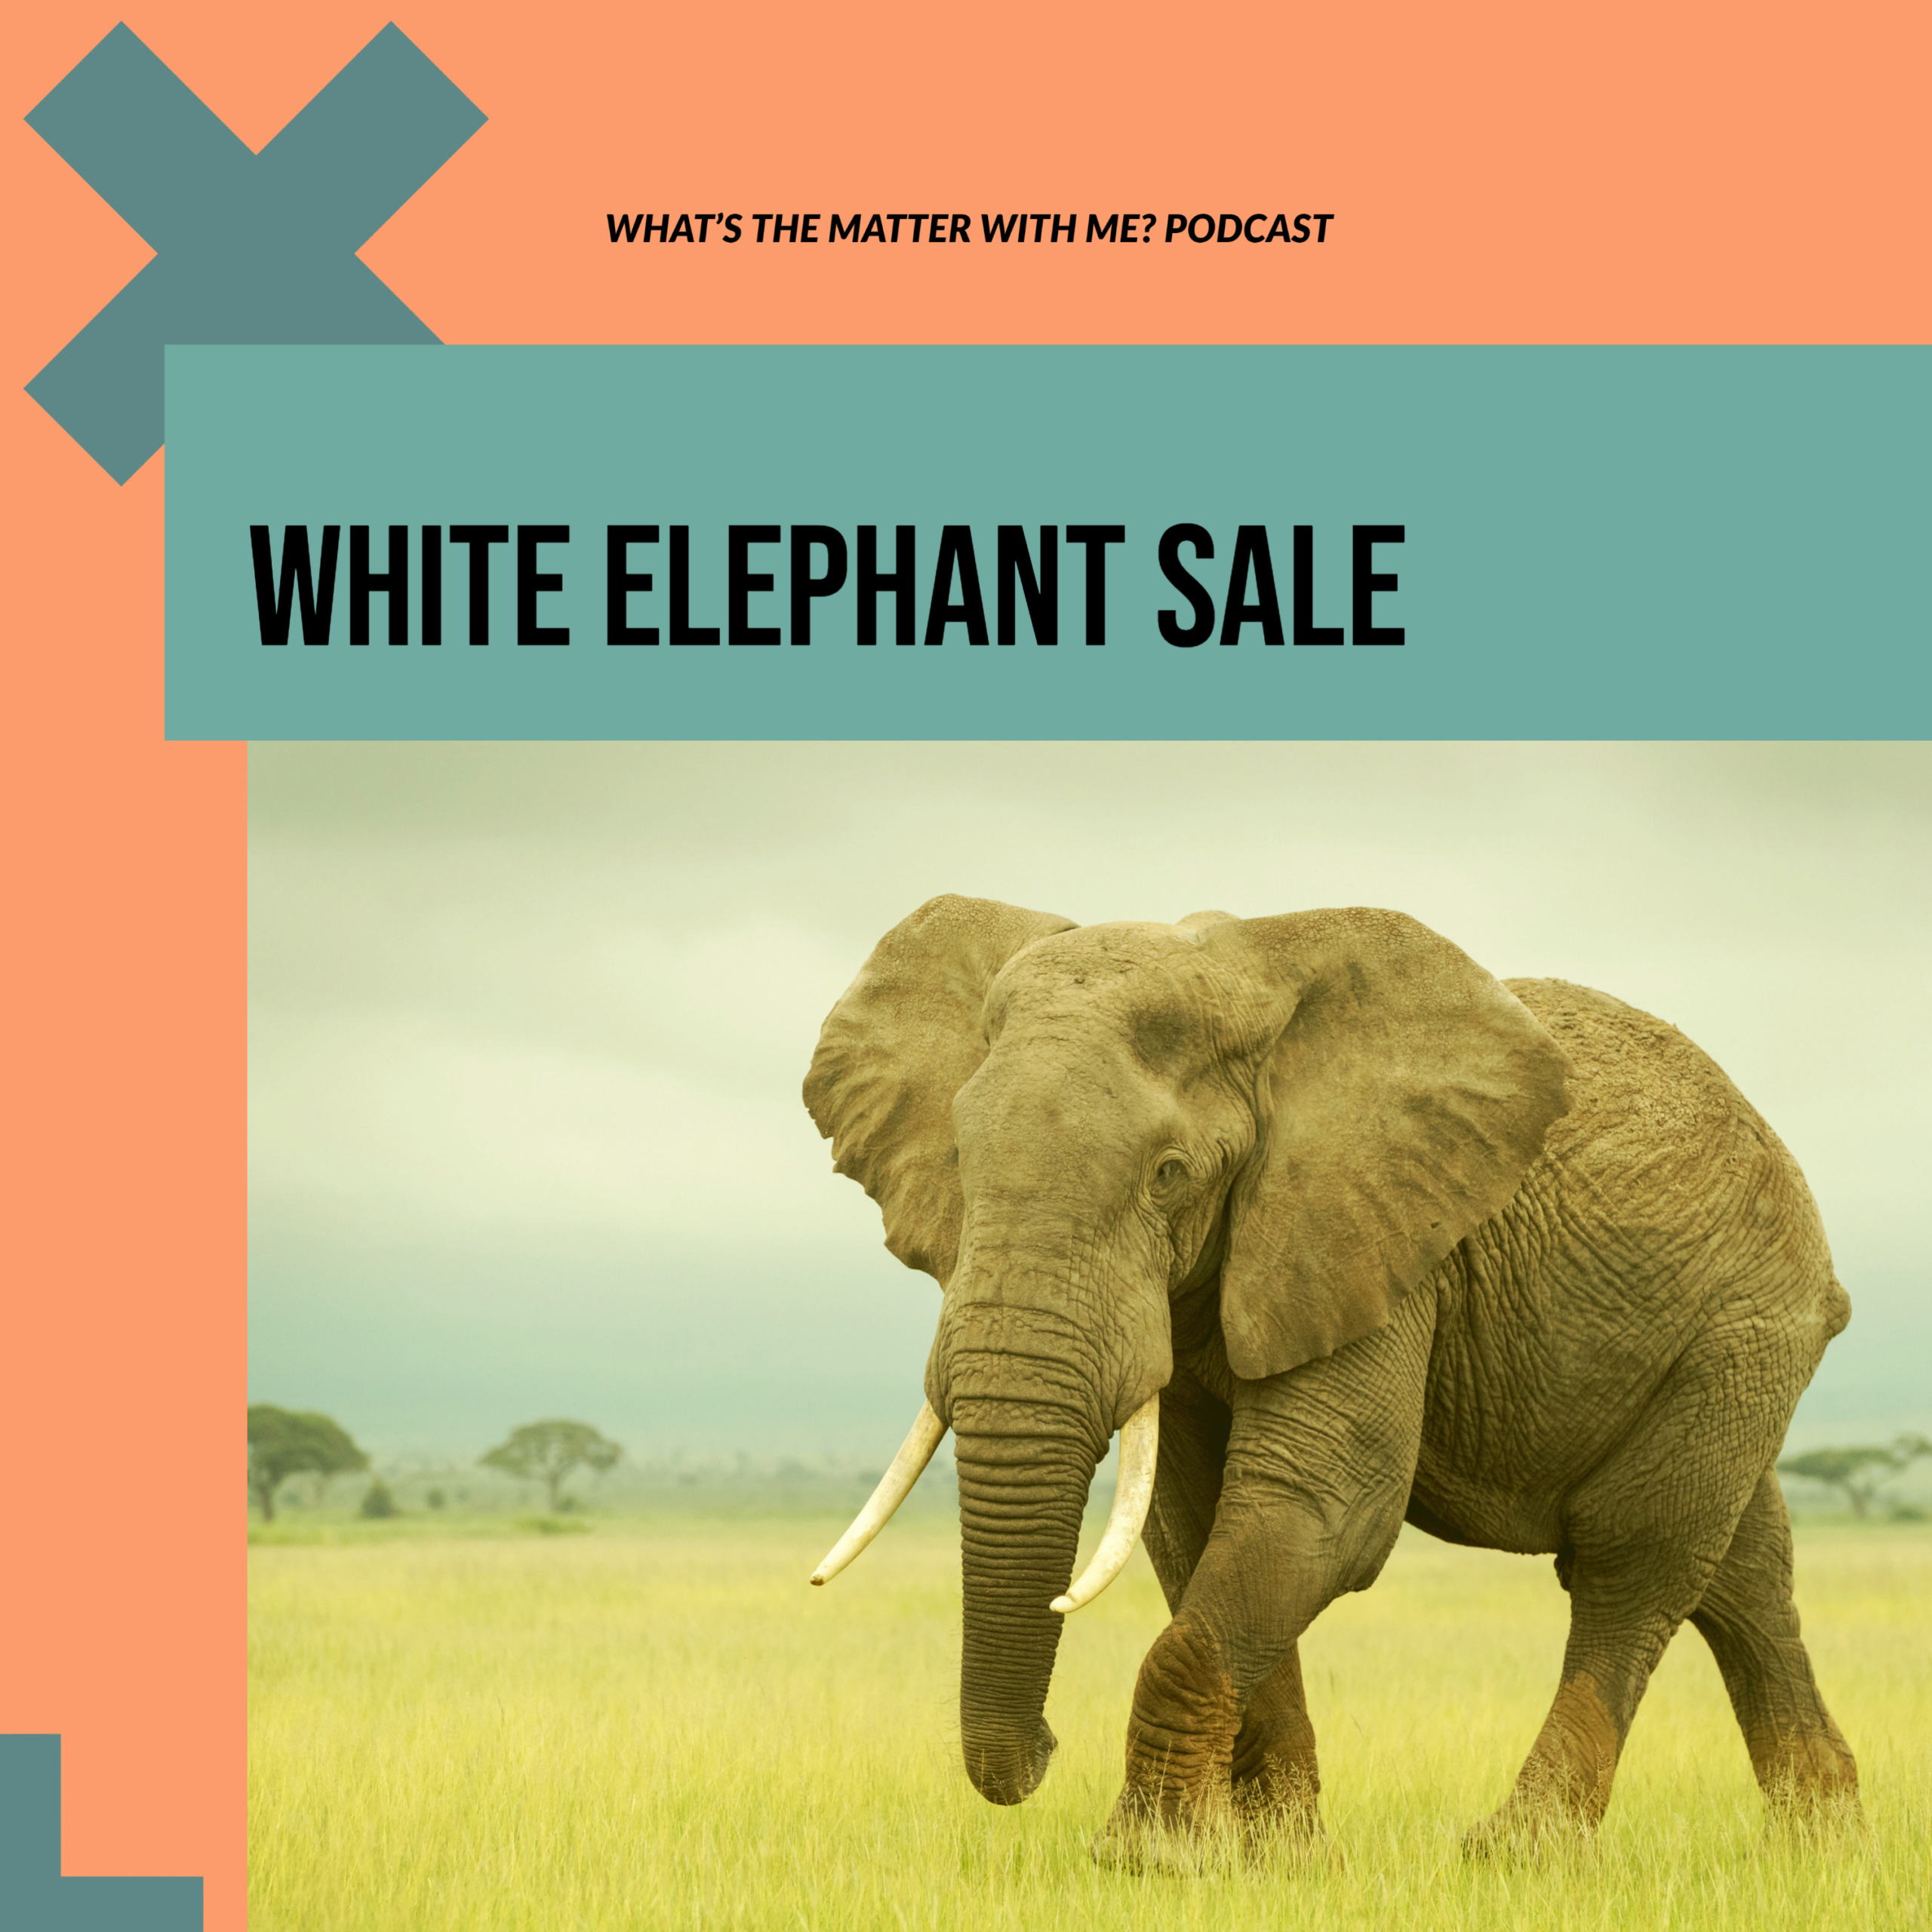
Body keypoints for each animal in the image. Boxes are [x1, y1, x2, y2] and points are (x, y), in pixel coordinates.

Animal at [801, 896, 1858, 1857]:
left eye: (1169, 1174)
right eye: (959, 1160)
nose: (1045, 1751)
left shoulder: (1380, 1234)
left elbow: (1322, 1505)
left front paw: (1152, 1858)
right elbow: (1196, 1522)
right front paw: (1276, 1856)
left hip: (1747, 1325)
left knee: (1634, 1554)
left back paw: (1520, 1850)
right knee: (1740, 1570)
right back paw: (1822, 1841)